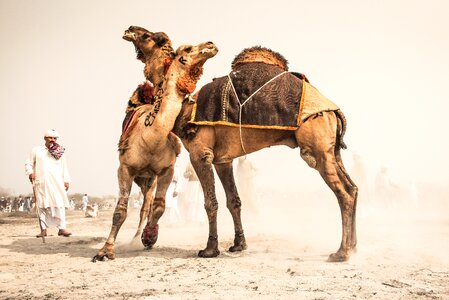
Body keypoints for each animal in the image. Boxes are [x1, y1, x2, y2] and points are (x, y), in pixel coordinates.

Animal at [91, 31, 217, 260]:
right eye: (187, 49)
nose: (211, 44)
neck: (150, 138)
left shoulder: (167, 169)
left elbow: (159, 207)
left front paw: (150, 236)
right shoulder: (124, 168)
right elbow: (120, 210)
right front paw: (105, 250)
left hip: (150, 179)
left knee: (147, 206)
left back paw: (139, 238)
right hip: (142, 177)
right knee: (141, 206)